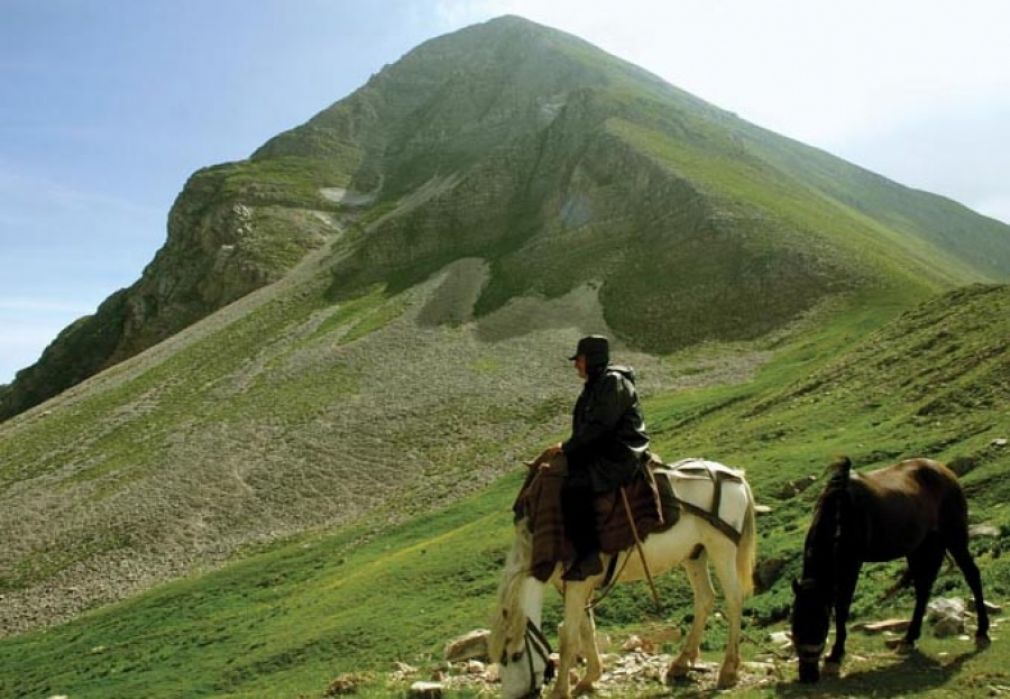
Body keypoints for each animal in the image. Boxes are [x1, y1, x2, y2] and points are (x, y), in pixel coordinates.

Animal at [488, 458, 759, 699]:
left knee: (733, 598)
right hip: (695, 554)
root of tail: (734, 475)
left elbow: (568, 637)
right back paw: (681, 663)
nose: (518, 696)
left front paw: (560, 691)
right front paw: (589, 679)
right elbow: (586, 629)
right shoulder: (573, 585)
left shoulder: (578, 584)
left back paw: (728, 671)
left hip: (721, 547)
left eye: (514, 654)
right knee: (705, 598)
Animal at [787, 458, 985, 682]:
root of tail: (946, 471)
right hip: (921, 546)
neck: (842, 512)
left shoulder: (852, 565)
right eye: (794, 625)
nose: (807, 675)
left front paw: (835, 657)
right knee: (923, 588)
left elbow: (842, 608)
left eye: (820, 626)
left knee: (972, 575)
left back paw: (982, 633)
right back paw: (909, 639)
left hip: (954, 536)